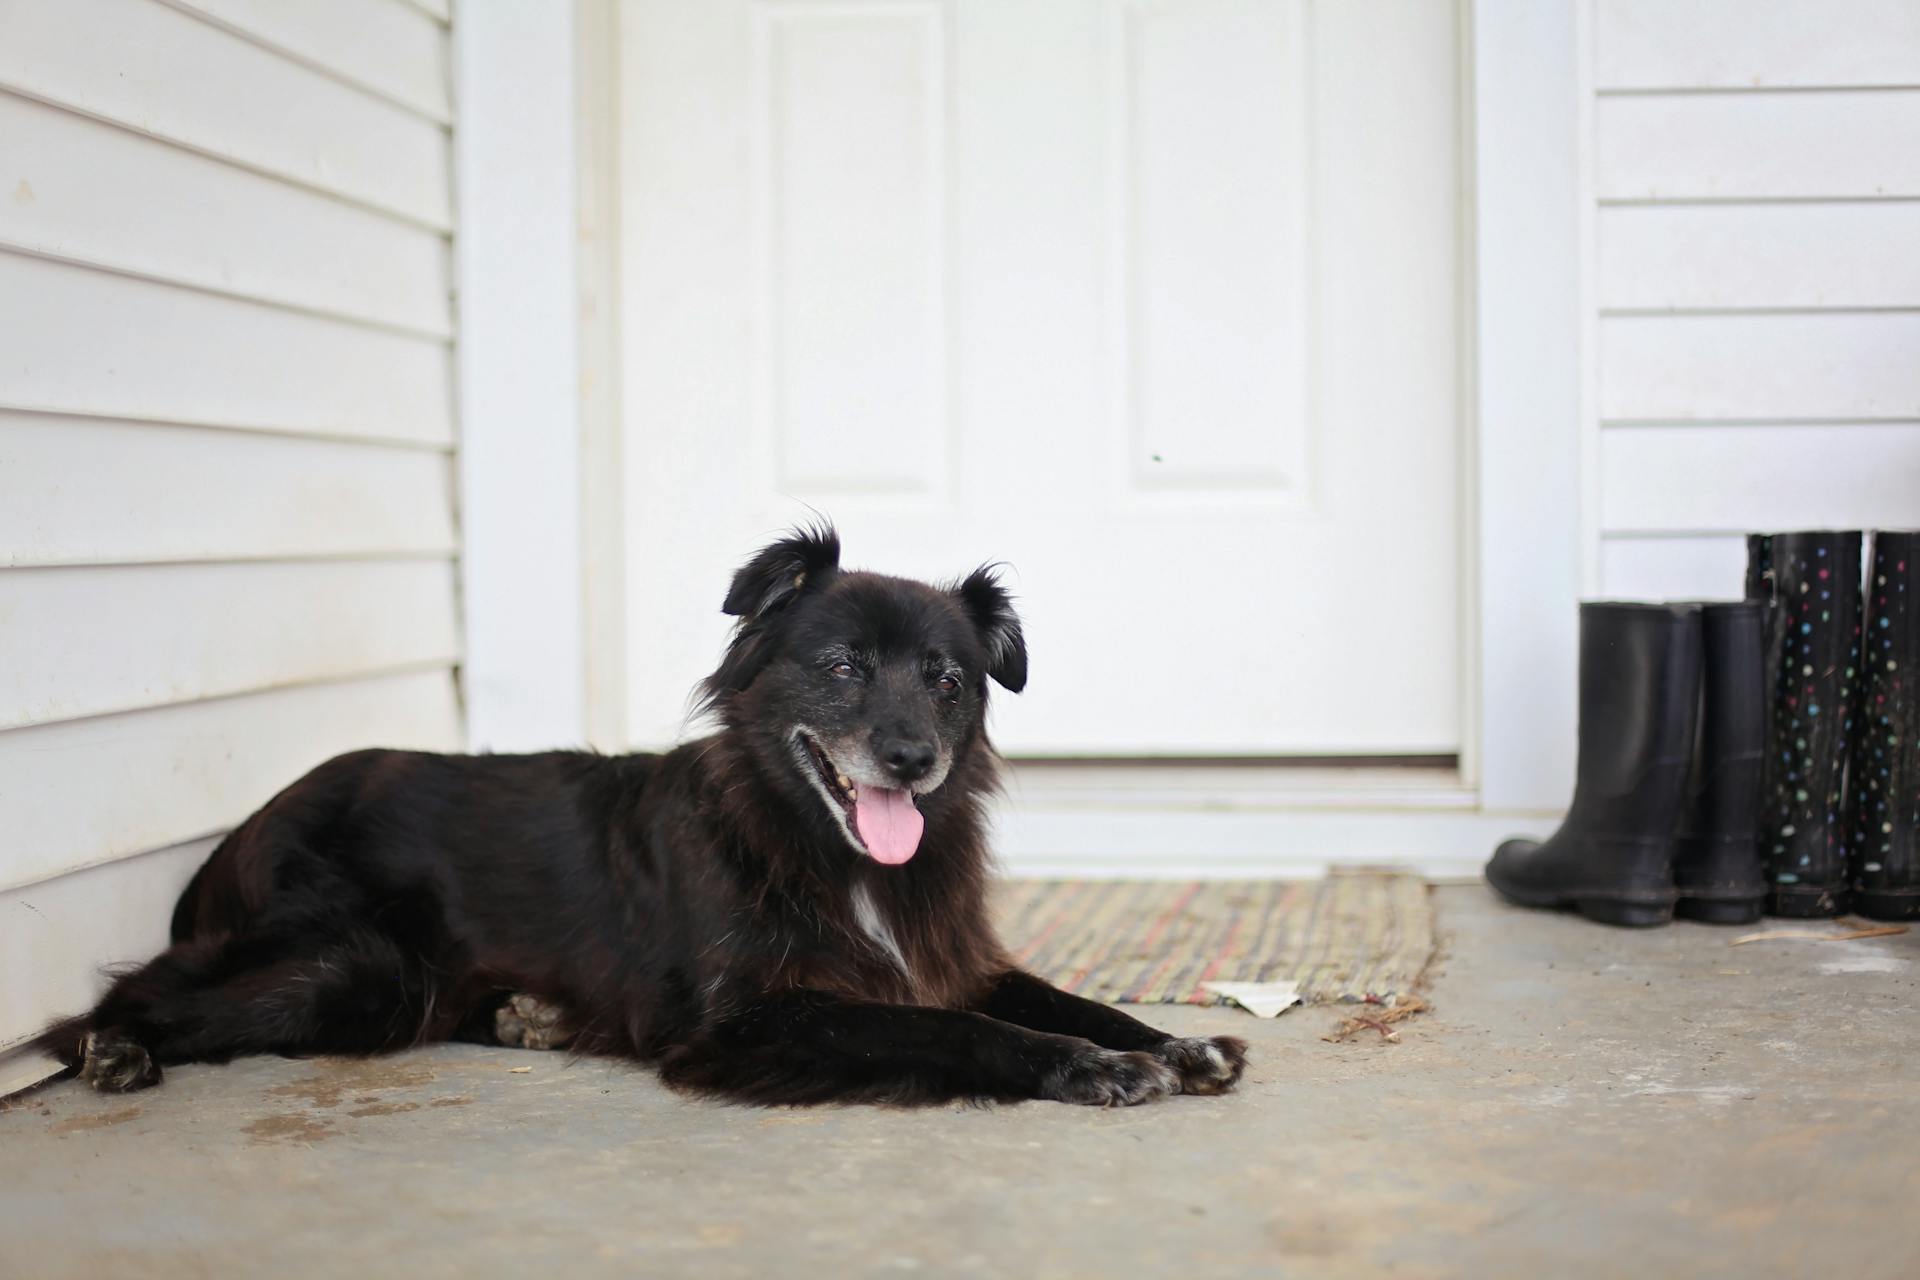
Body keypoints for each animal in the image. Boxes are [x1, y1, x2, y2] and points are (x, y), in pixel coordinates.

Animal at [41, 525, 1259, 1105]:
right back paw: (113, 1050)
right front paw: (1088, 1069)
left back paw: (528, 1016)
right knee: (131, 995)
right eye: (840, 666)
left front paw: (1174, 1040)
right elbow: (954, 1031)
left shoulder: (946, 959)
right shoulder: (753, 1017)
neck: (817, 845)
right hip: (347, 964)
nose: (912, 761)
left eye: (949, 680)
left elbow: (1068, 998)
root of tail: (248, 824)